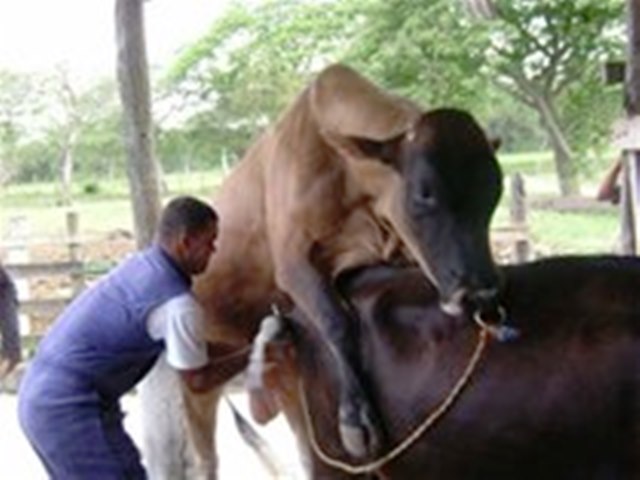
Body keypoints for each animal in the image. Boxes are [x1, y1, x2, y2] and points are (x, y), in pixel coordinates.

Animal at [187, 63, 503, 476]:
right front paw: (356, 419)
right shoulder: (293, 262)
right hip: (188, 385)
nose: (480, 293)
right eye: (424, 194)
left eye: (494, 192)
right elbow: (335, 320)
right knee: (204, 458)